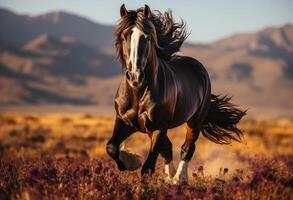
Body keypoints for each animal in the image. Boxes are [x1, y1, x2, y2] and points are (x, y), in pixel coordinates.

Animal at [106, 3, 245, 184]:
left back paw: (179, 179)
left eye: (147, 37)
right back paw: (170, 177)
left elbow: (148, 167)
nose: (135, 76)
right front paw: (130, 161)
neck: (138, 91)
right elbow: (111, 147)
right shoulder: (125, 122)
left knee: (187, 148)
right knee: (169, 148)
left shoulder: (159, 127)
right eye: (124, 36)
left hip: (194, 122)